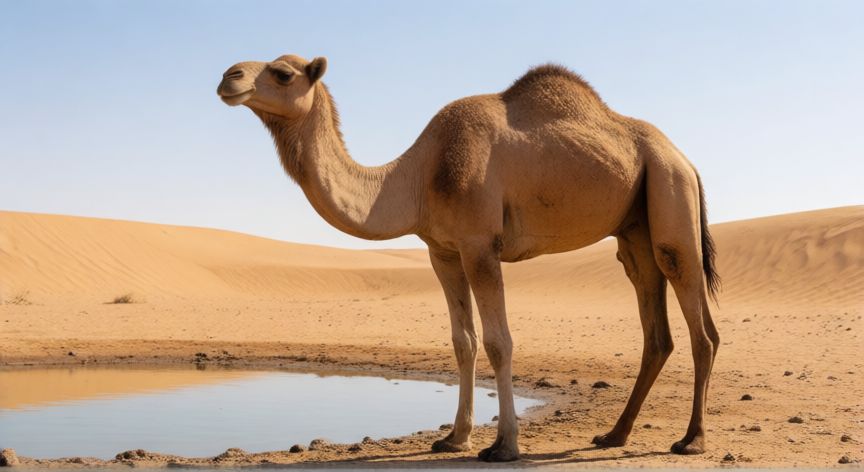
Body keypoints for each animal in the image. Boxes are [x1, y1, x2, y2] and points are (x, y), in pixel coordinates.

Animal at [217, 54, 721, 462]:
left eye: (282, 73)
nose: (227, 76)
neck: (419, 176)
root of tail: (687, 160)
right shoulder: (442, 251)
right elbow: (463, 342)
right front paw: (453, 438)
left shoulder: (480, 244)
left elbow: (499, 342)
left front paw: (504, 446)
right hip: (635, 227)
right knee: (655, 325)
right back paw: (613, 435)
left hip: (669, 192)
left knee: (700, 324)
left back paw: (691, 440)